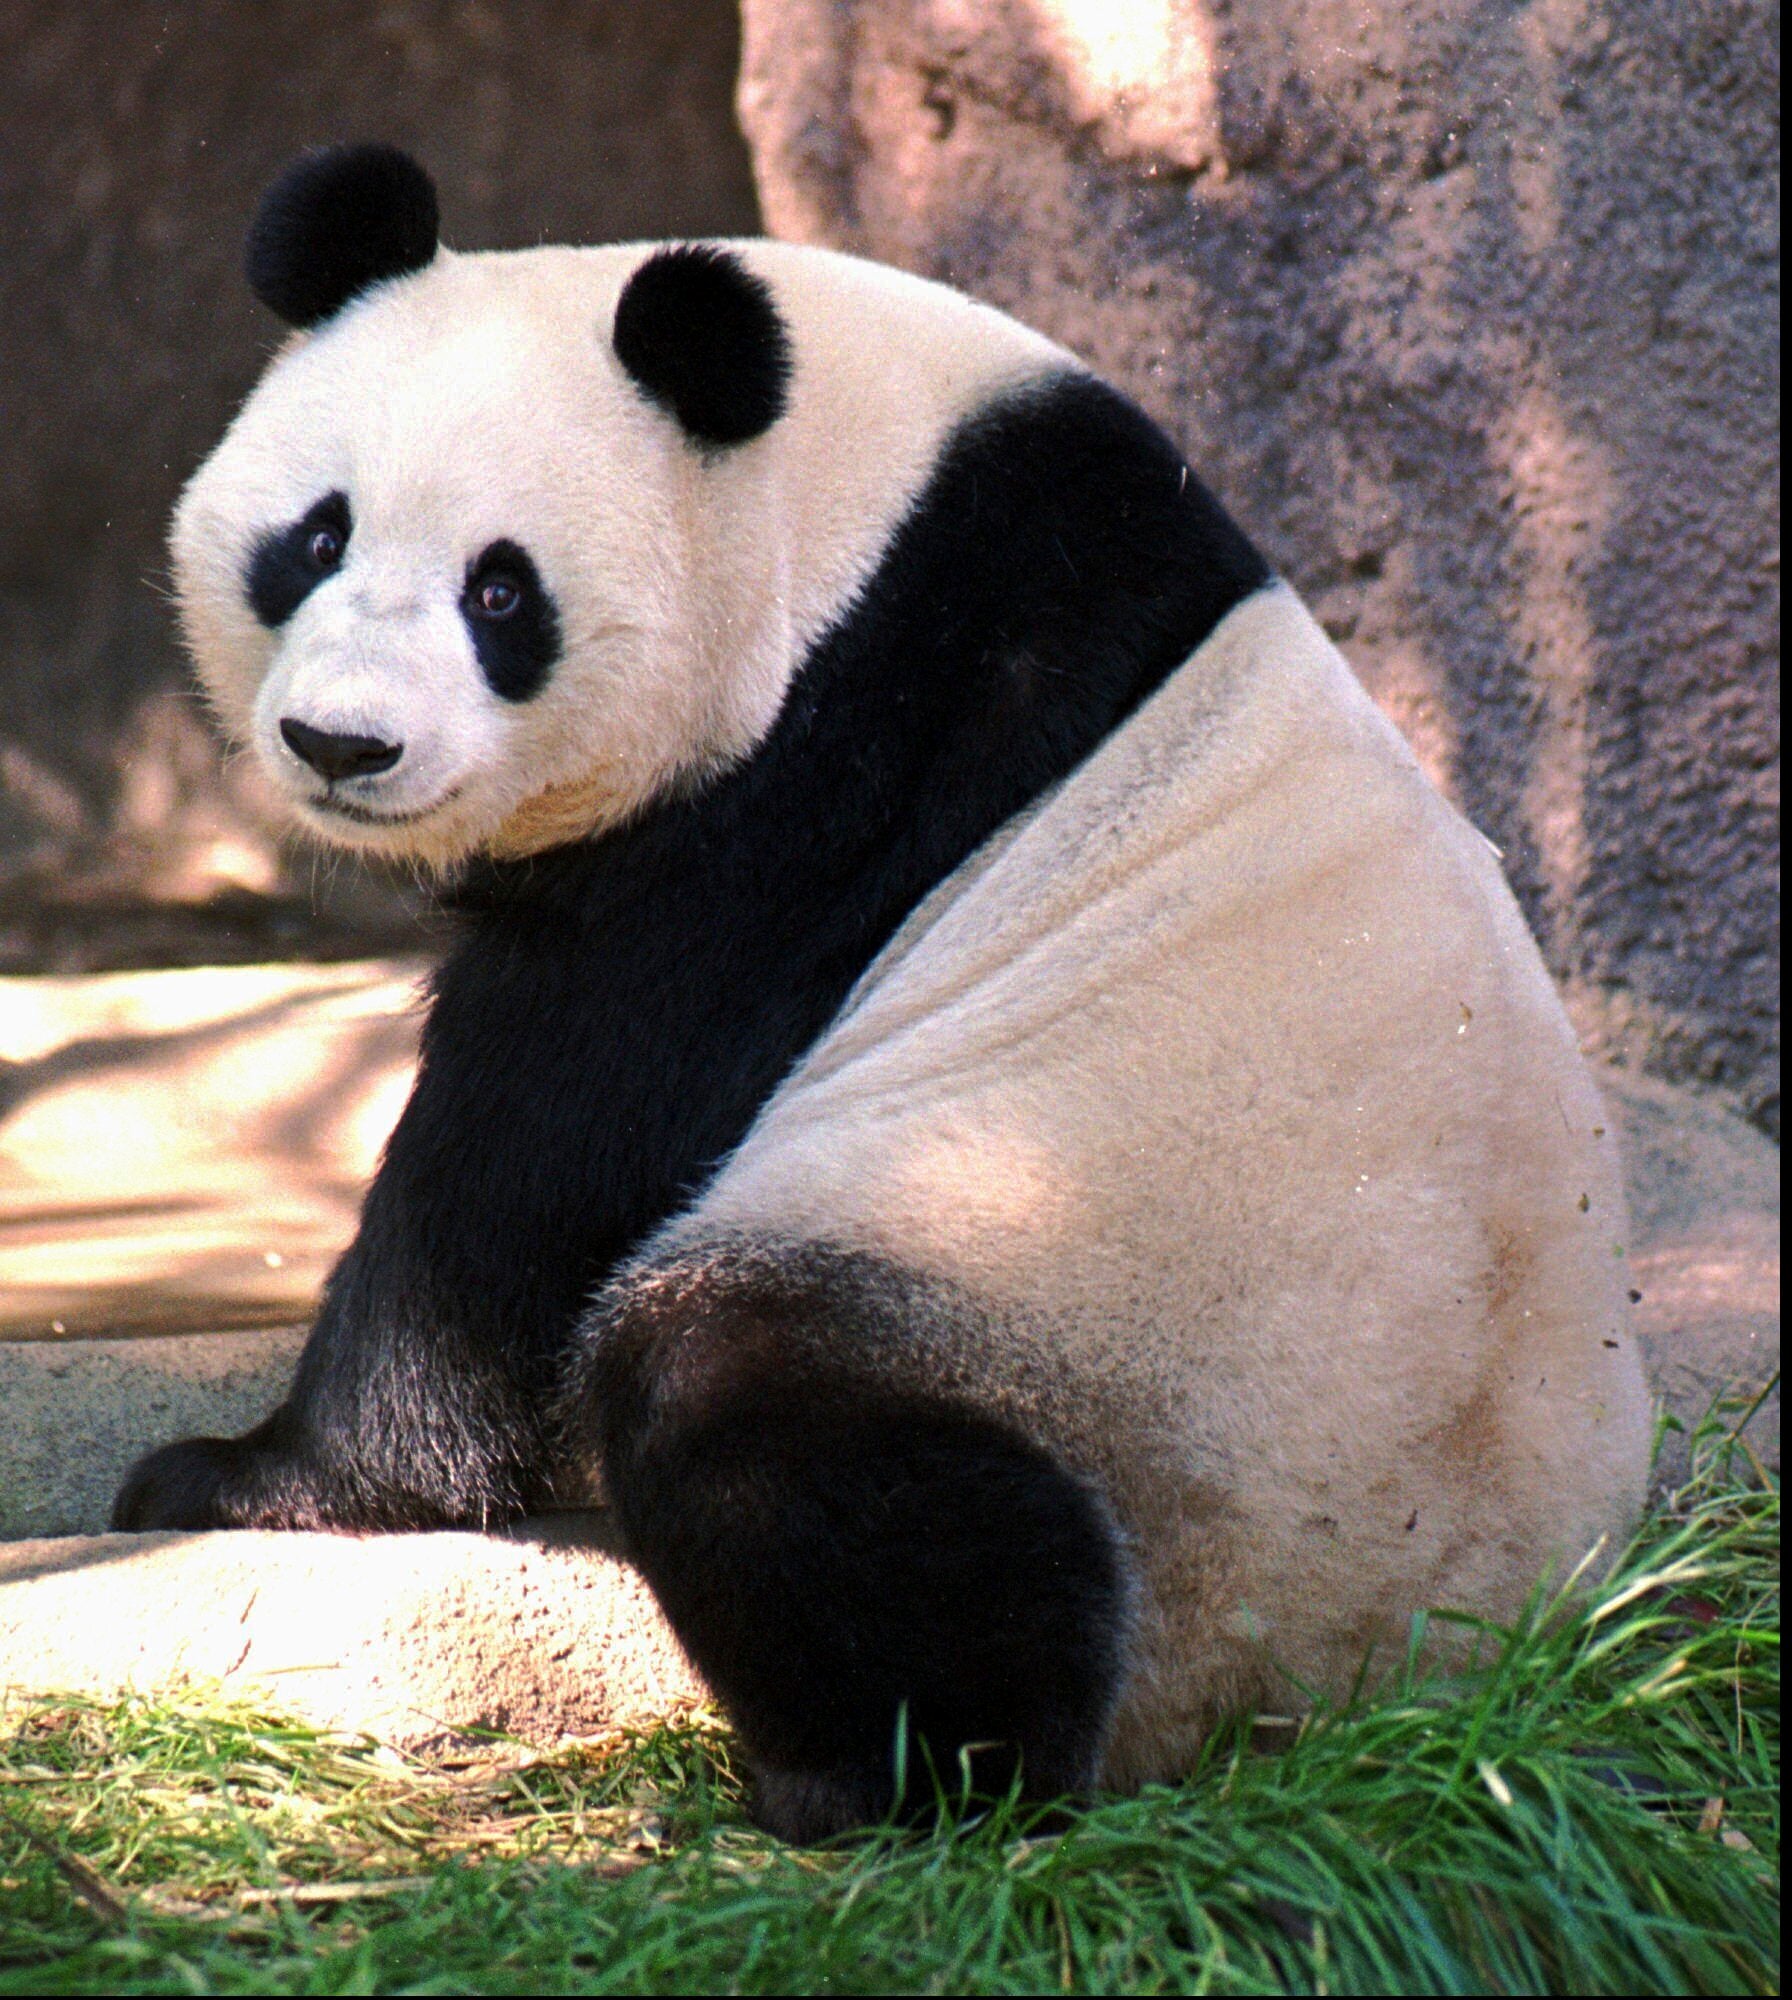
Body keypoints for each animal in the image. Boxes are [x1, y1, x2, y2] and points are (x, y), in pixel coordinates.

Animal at [115, 144, 1651, 1843]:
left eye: (503, 597)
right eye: (313, 540)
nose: (344, 744)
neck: (849, 505)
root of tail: (1415, 1664)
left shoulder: (825, 781)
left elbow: (540, 1151)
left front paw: (254, 1484)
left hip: (1106, 1329)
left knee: (771, 1422)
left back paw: (875, 1773)